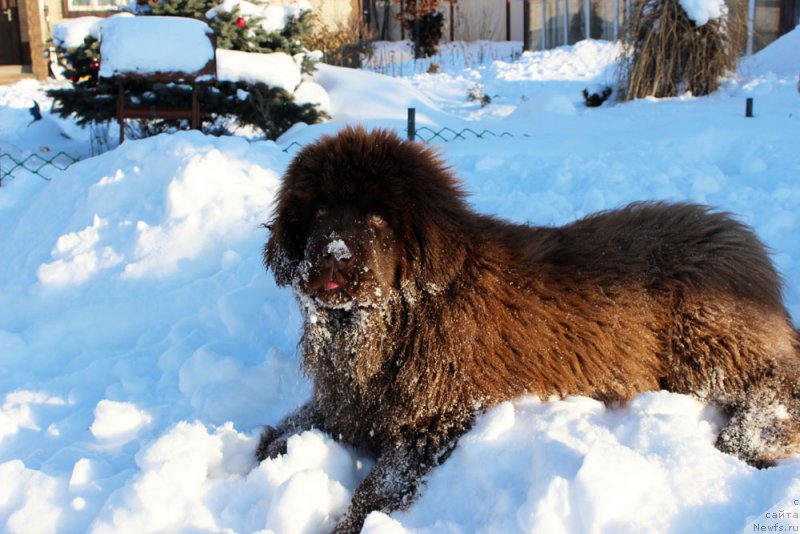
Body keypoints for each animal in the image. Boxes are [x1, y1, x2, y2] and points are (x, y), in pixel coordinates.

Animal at [258, 127, 800, 532]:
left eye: (377, 217)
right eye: (319, 211)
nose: (334, 257)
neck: (397, 320)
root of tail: (736, 234)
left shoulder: (434, 421)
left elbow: (377, 489)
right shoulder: (347, 401)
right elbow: (288, 429)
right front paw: (270, 448)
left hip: (705, 336)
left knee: (779, 379)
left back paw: (751, 438)